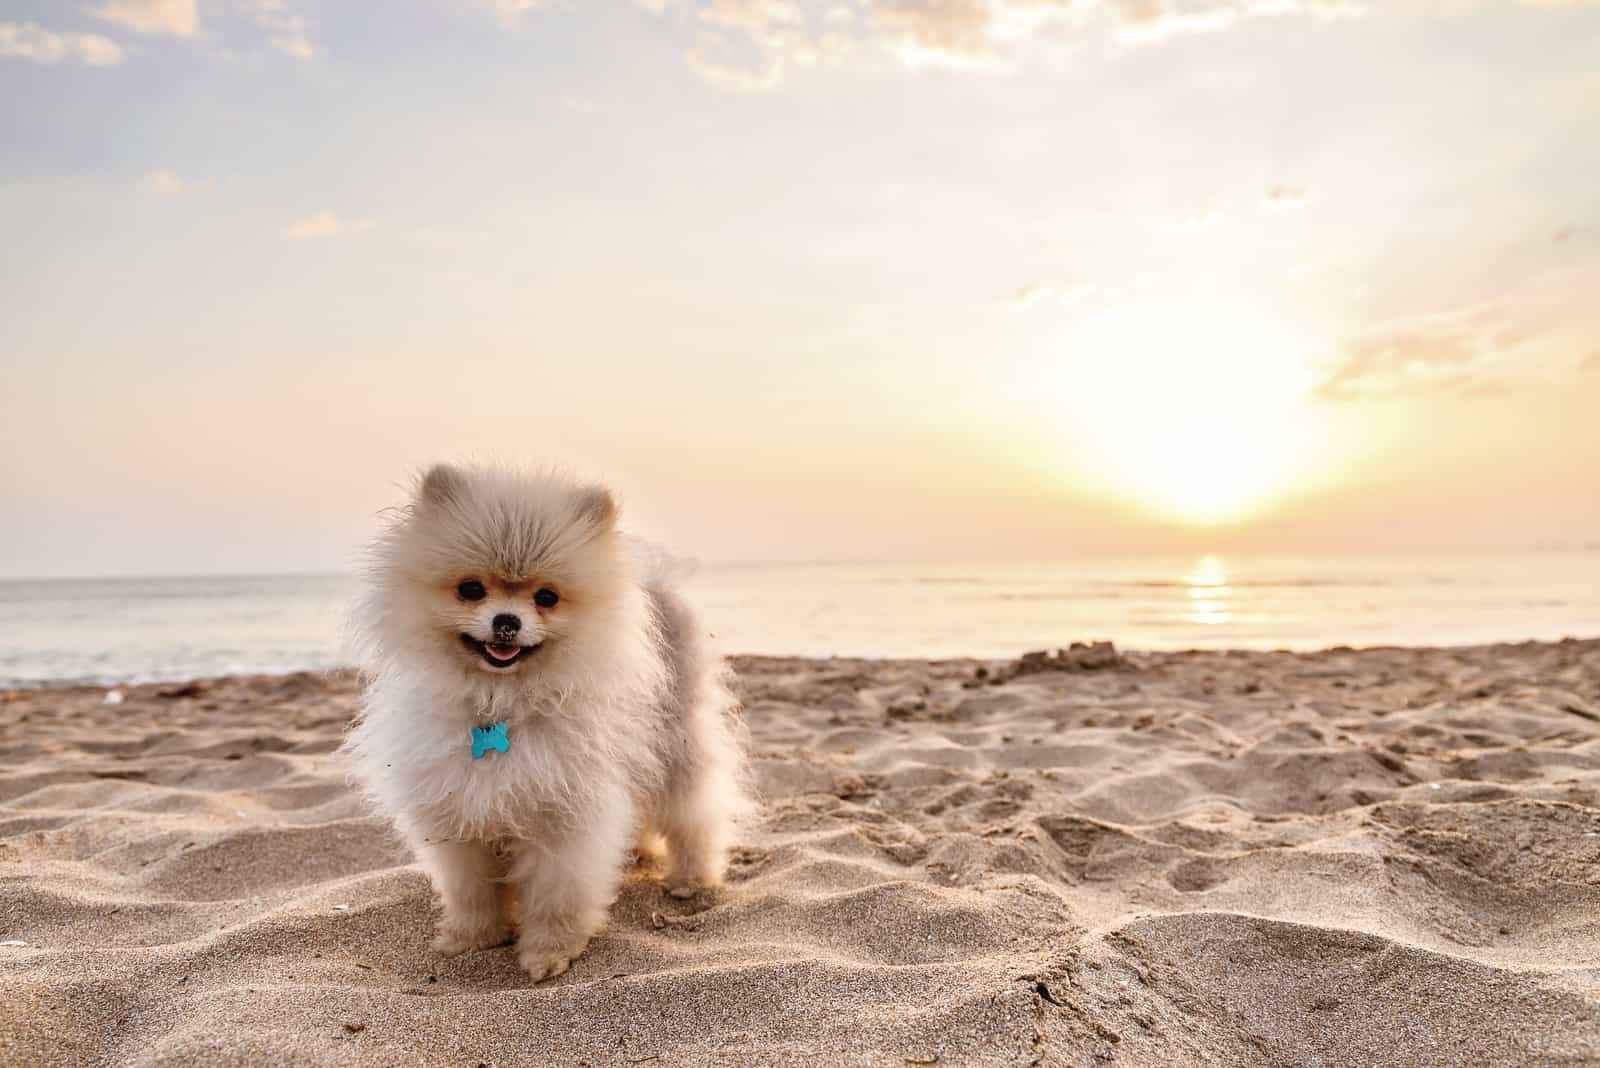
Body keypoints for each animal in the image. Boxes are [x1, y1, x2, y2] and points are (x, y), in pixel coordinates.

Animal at [344, 463, 742, 978]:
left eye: (547, 597)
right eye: (471, 590)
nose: (506, 621)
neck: (499, 706)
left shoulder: (563, 820)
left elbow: (557, 895)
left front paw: (549, 951)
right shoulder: (458, 818)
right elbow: (471, 890)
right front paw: (473, 937)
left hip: (678, 747)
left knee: (695, 816)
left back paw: (692, 880)